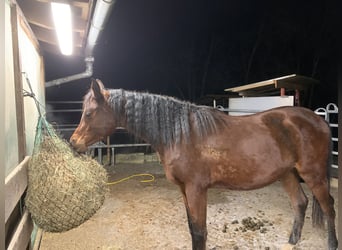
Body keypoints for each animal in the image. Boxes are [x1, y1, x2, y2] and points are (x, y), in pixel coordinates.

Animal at [70, 79, 336, 249]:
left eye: (89, 114)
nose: (73, 143)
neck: (180, 134)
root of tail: (320, 121)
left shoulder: (197, 189)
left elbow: (200, 232)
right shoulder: (184, 190)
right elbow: (192, 228)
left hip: (313, 174)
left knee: (328, 207)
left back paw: (331, 243)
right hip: (287, 173)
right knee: (300, 203)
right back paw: (292, 241)